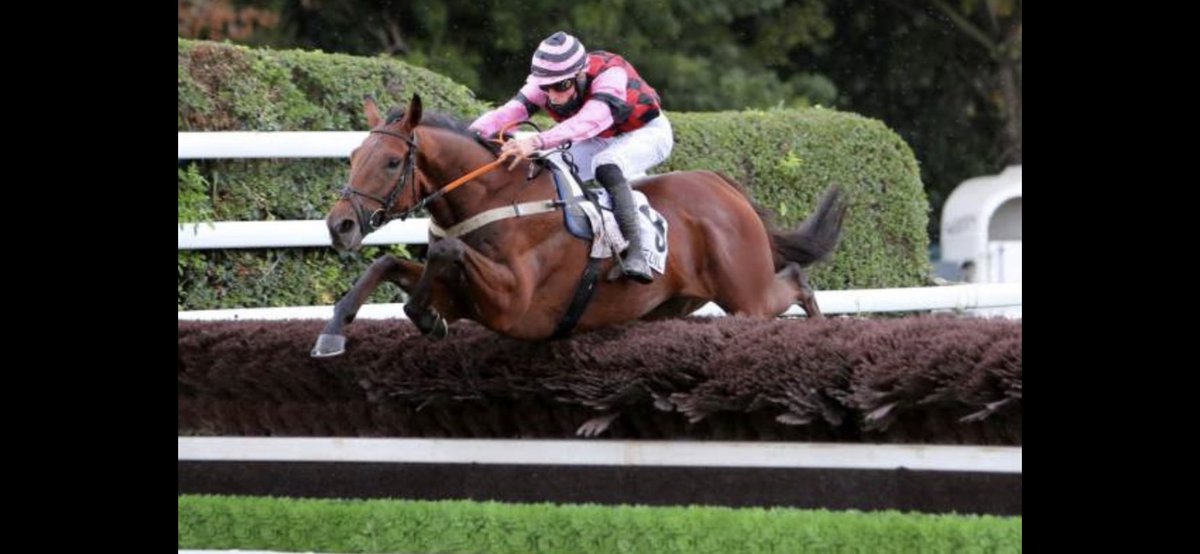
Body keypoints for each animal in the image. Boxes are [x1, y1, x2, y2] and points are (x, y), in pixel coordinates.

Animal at [312, 94, 846, 358]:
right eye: (354, 155)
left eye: (391, 161)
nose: (340, 225)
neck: (497, 199)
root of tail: (723, 187)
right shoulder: (461, 298)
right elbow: (386, 263)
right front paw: (335, 330)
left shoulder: (513, 303)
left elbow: (447, 253)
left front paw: (419, 316)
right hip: (675, 303)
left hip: (745, 294)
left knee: (795, 282)